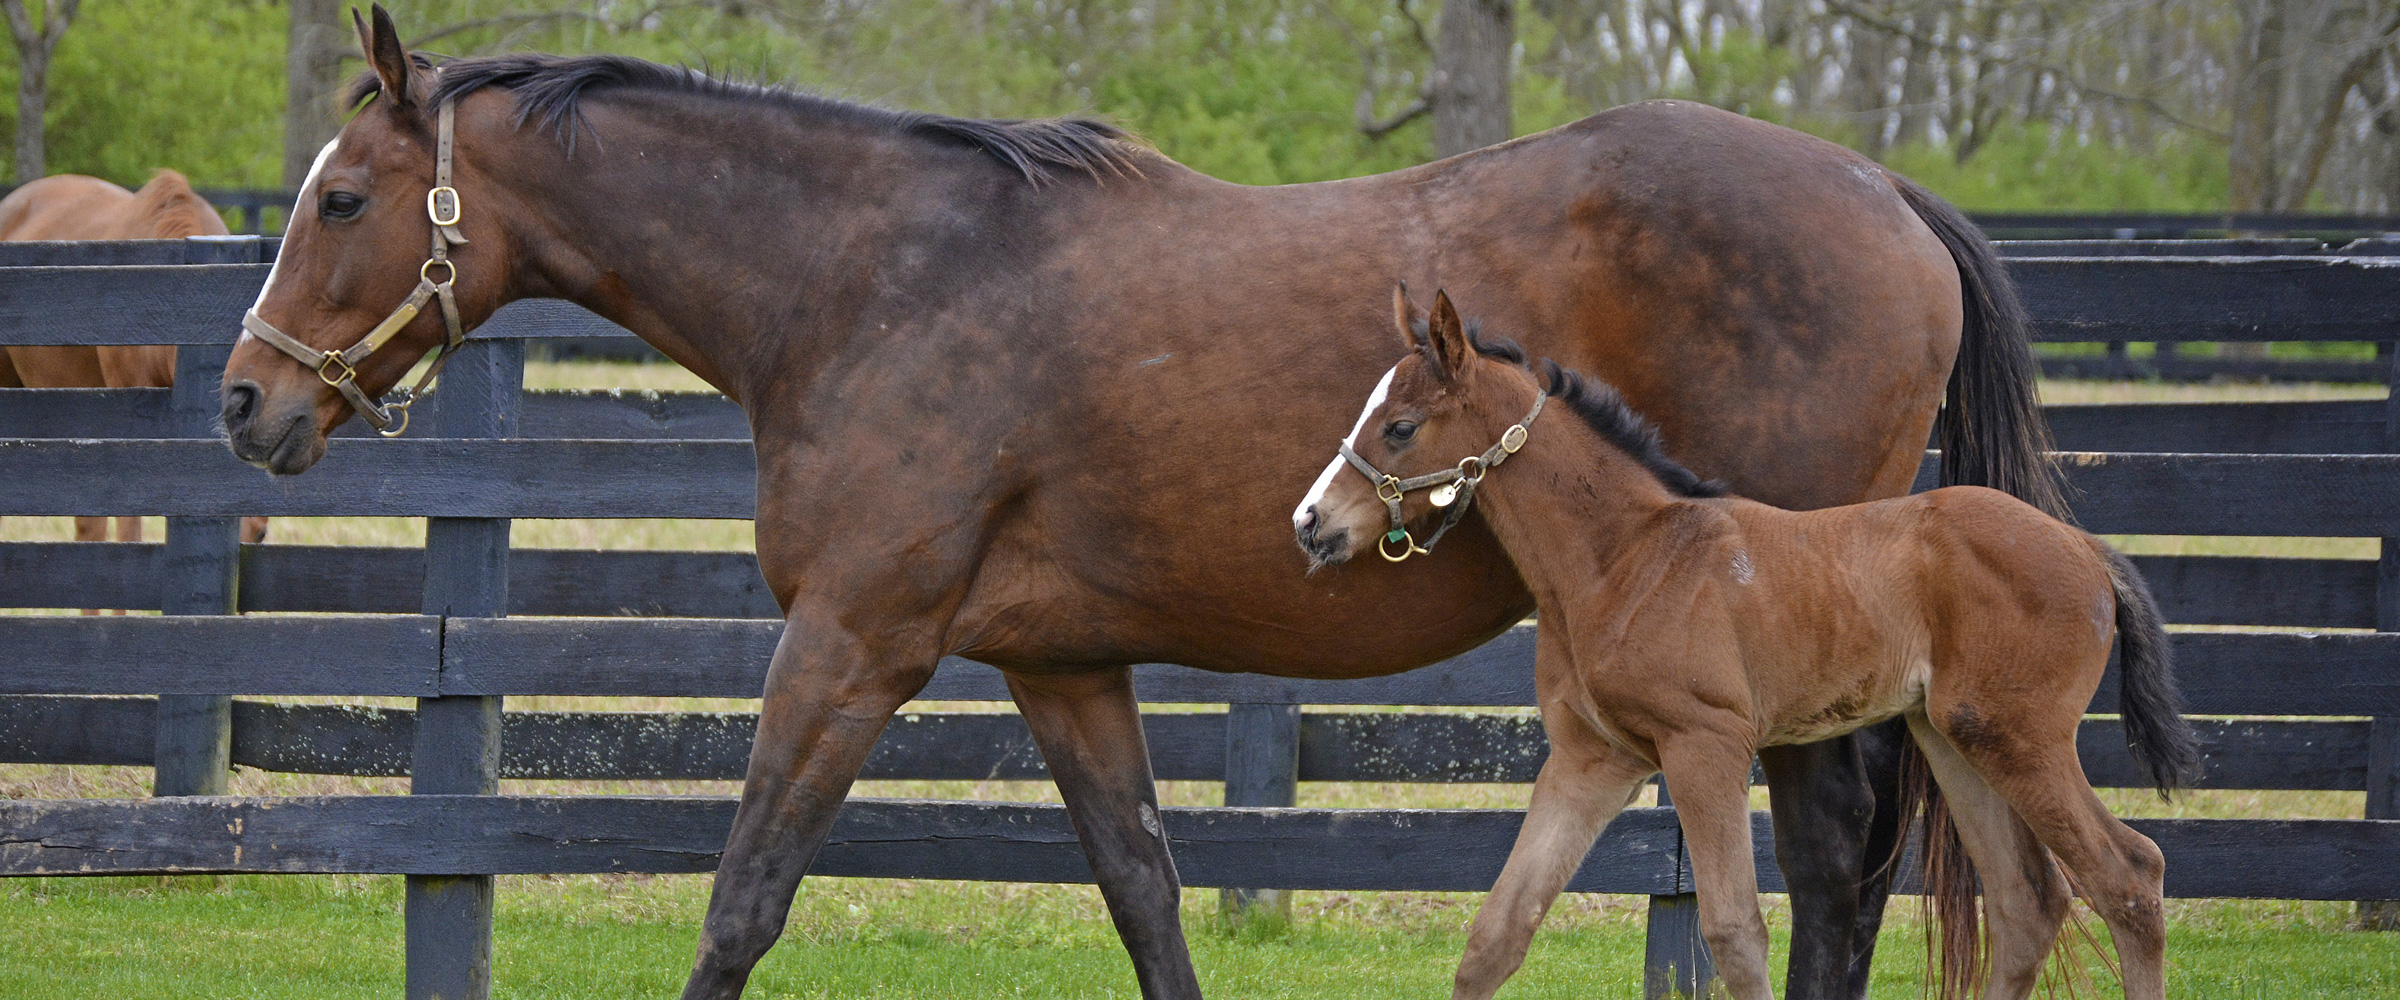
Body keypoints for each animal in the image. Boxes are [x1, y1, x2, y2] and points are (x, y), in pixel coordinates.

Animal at [1305, 284, 2198, 992]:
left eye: (1400, 426)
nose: (1311, 523)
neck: (1624, 558)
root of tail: (2088, 550)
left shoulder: (1706, 744)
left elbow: (1735, 933)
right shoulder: (1593, 758)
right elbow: (1497, 931)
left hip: (2021, 738)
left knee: (2131, 877)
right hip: (1954, 737)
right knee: (2026, 903)